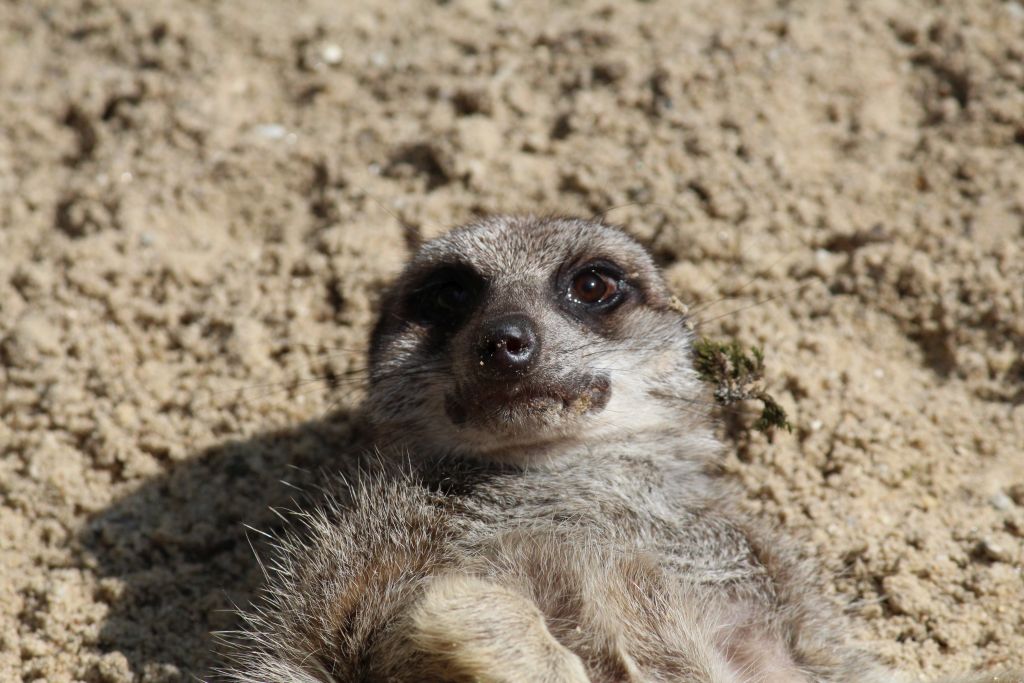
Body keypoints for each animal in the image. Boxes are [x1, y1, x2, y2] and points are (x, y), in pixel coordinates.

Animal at [220, 216, 1019, 683]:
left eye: (594, 284)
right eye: (449, 295)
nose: (504, 341)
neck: (569, 481)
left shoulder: (789, 595)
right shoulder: (345, 581)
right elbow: (442, 610)